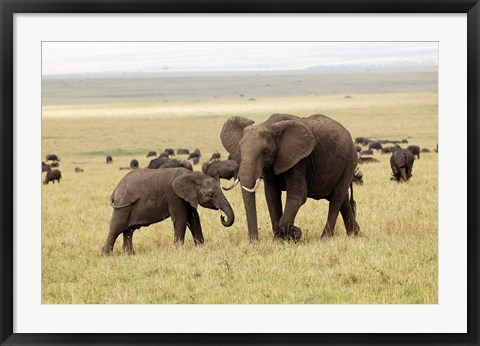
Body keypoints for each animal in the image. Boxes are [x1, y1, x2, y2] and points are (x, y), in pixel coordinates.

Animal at [102, 168, 234, 254]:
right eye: (211, 195)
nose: (222, 217)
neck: (192, 175)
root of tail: (116, 189)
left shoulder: (188, 197)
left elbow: (194, 218)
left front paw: (200, 248)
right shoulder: (174, 195)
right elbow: (181, 218)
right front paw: (178, 250)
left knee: (128, 231)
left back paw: (129, 254)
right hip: (123, 206)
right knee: (116, 229)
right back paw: (106, 254)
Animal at [221, 115, 360, 242]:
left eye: (265, 151)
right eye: (240, 151)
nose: (254, 242)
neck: (269, 125)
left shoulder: (298, 160)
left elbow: (297, 195)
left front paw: (295, 233)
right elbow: (272, 196)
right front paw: (280, 240)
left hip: (349, 161)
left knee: (336, 199)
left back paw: (325, 238)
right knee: (344, 200)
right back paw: (354, 234)